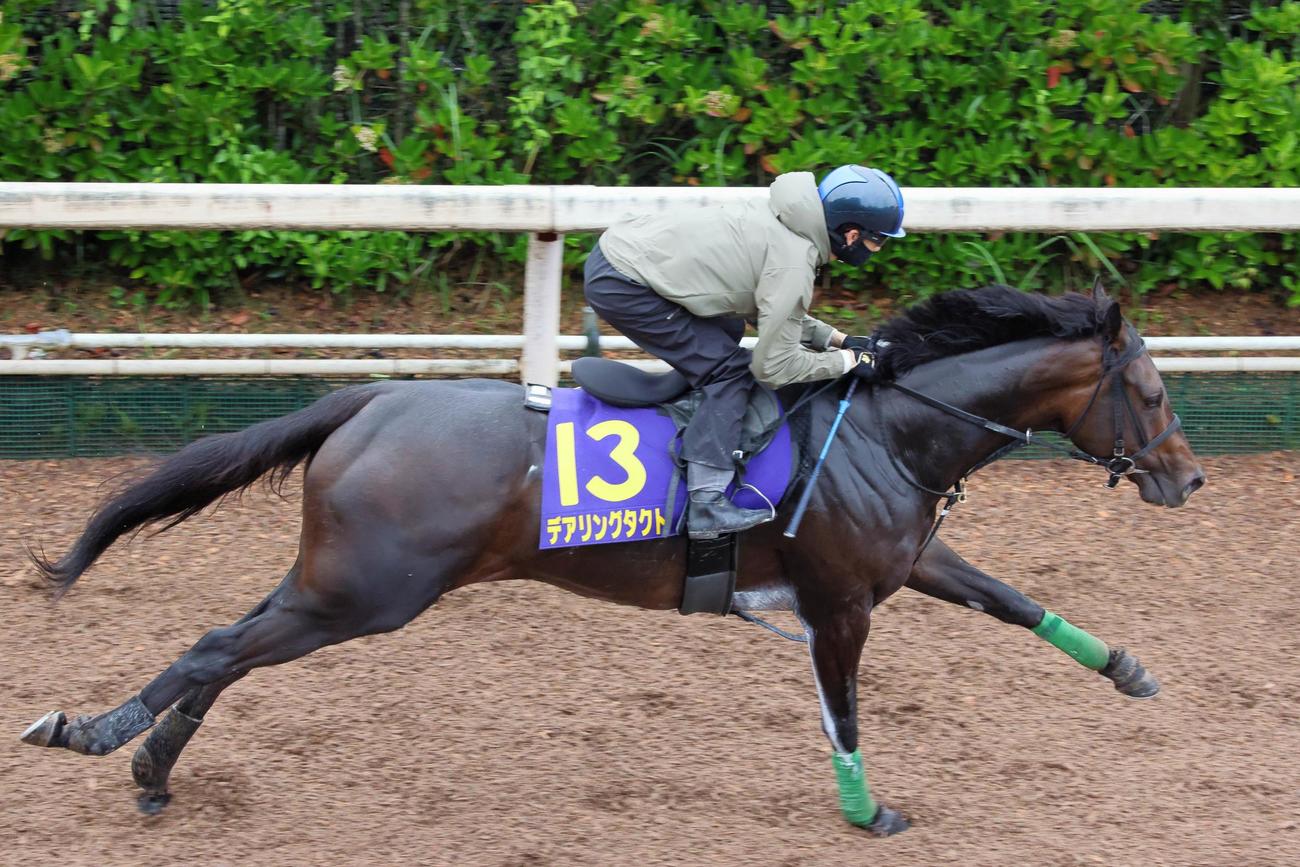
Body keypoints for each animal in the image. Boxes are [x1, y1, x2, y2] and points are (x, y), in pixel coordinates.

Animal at [20, 280, 1205, 836]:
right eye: (1152, 392)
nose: (1186, 479)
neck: (889, 428)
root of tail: (371, 396)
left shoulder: (903, 562)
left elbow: (1012, 599)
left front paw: (1129, 669)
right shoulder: (839, 603)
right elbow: (845, 713)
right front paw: (868, 812)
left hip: (331, 582)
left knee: (227, 649)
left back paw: (149, 765)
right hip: (366, 593)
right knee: (212, 648)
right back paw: (89, 733)